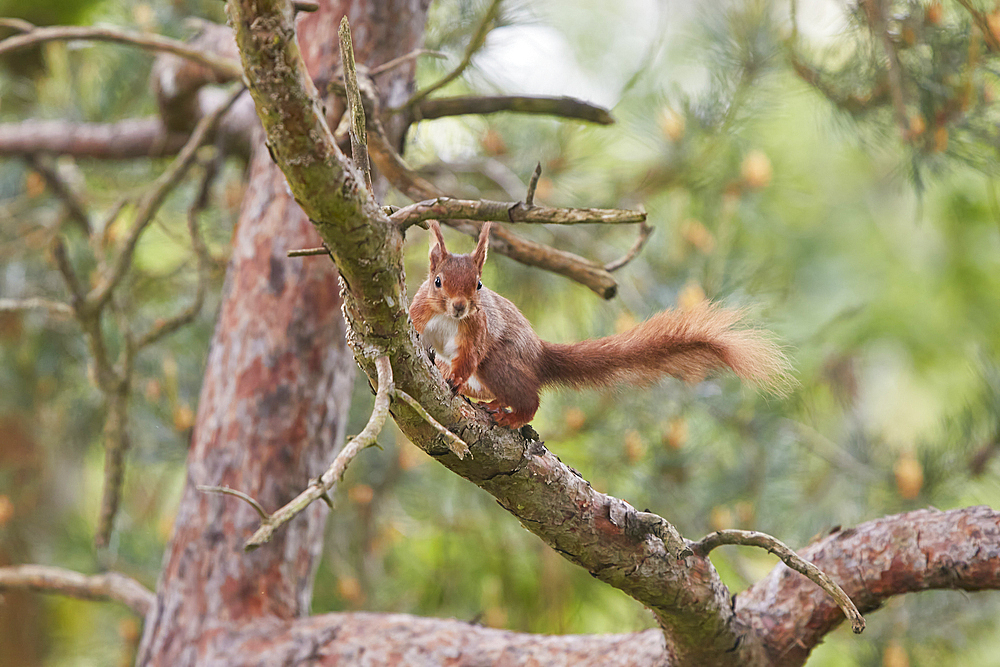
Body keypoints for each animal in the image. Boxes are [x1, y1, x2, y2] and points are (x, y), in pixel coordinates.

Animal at [410, 219, 792, 428]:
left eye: (479, 284)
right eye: (437, 282)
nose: (460, 307)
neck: (448, 319)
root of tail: (540, 355)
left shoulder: (477, 331)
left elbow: (469, 356)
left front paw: (455, 377)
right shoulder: (420, 314)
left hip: (500, 364)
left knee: (530, 399)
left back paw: (511, 415)